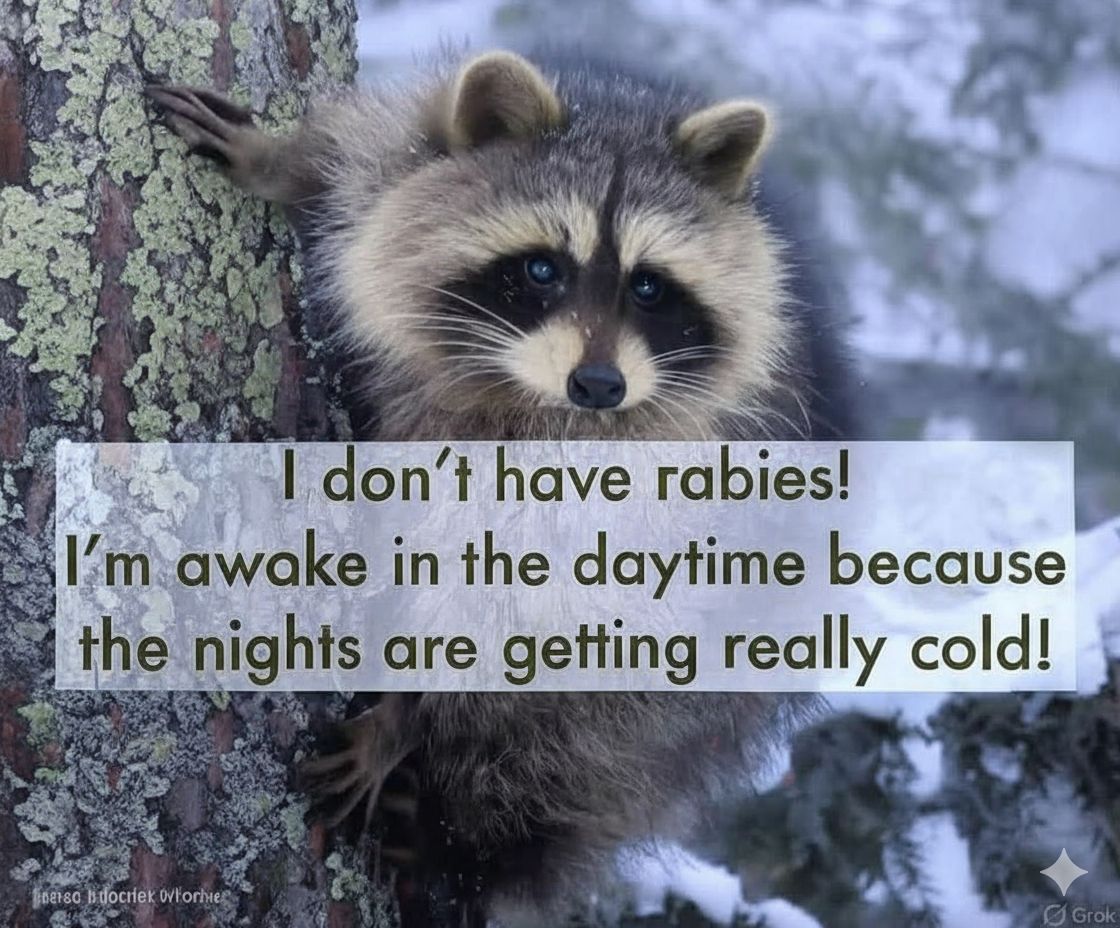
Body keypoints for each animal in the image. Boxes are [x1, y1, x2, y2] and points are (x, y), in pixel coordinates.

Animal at [149, 50, 853, 927]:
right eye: (542, 269)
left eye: (650, 287)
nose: (599, 385)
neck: (528, 393)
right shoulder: (412, 159)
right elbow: (363, 167)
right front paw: (281, 162)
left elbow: (496, 612)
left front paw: (401, 722)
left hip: (682, 704)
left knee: (563, 748)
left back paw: (470, 851)